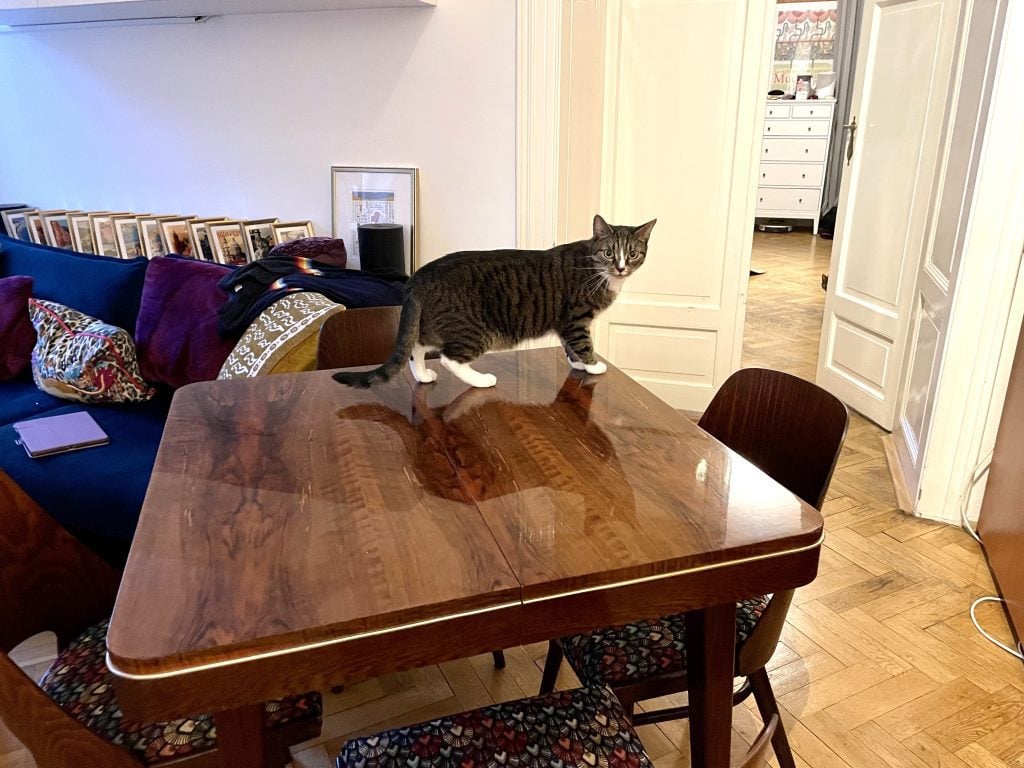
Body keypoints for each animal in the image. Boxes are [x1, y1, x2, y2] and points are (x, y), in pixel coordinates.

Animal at [331, 214, 659, 387]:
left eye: (632, 253)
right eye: (609, 252)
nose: (620, 267)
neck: (598, 270)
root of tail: (420, 275)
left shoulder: (566, 322)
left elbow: (570, 346)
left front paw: (577, 363)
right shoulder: (576, 317)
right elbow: (583, 343)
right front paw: (592, 366)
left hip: (432, 321)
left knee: (417, 346)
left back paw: (422, 375)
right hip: (474, 330)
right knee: (449, 357)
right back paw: (482, 380)